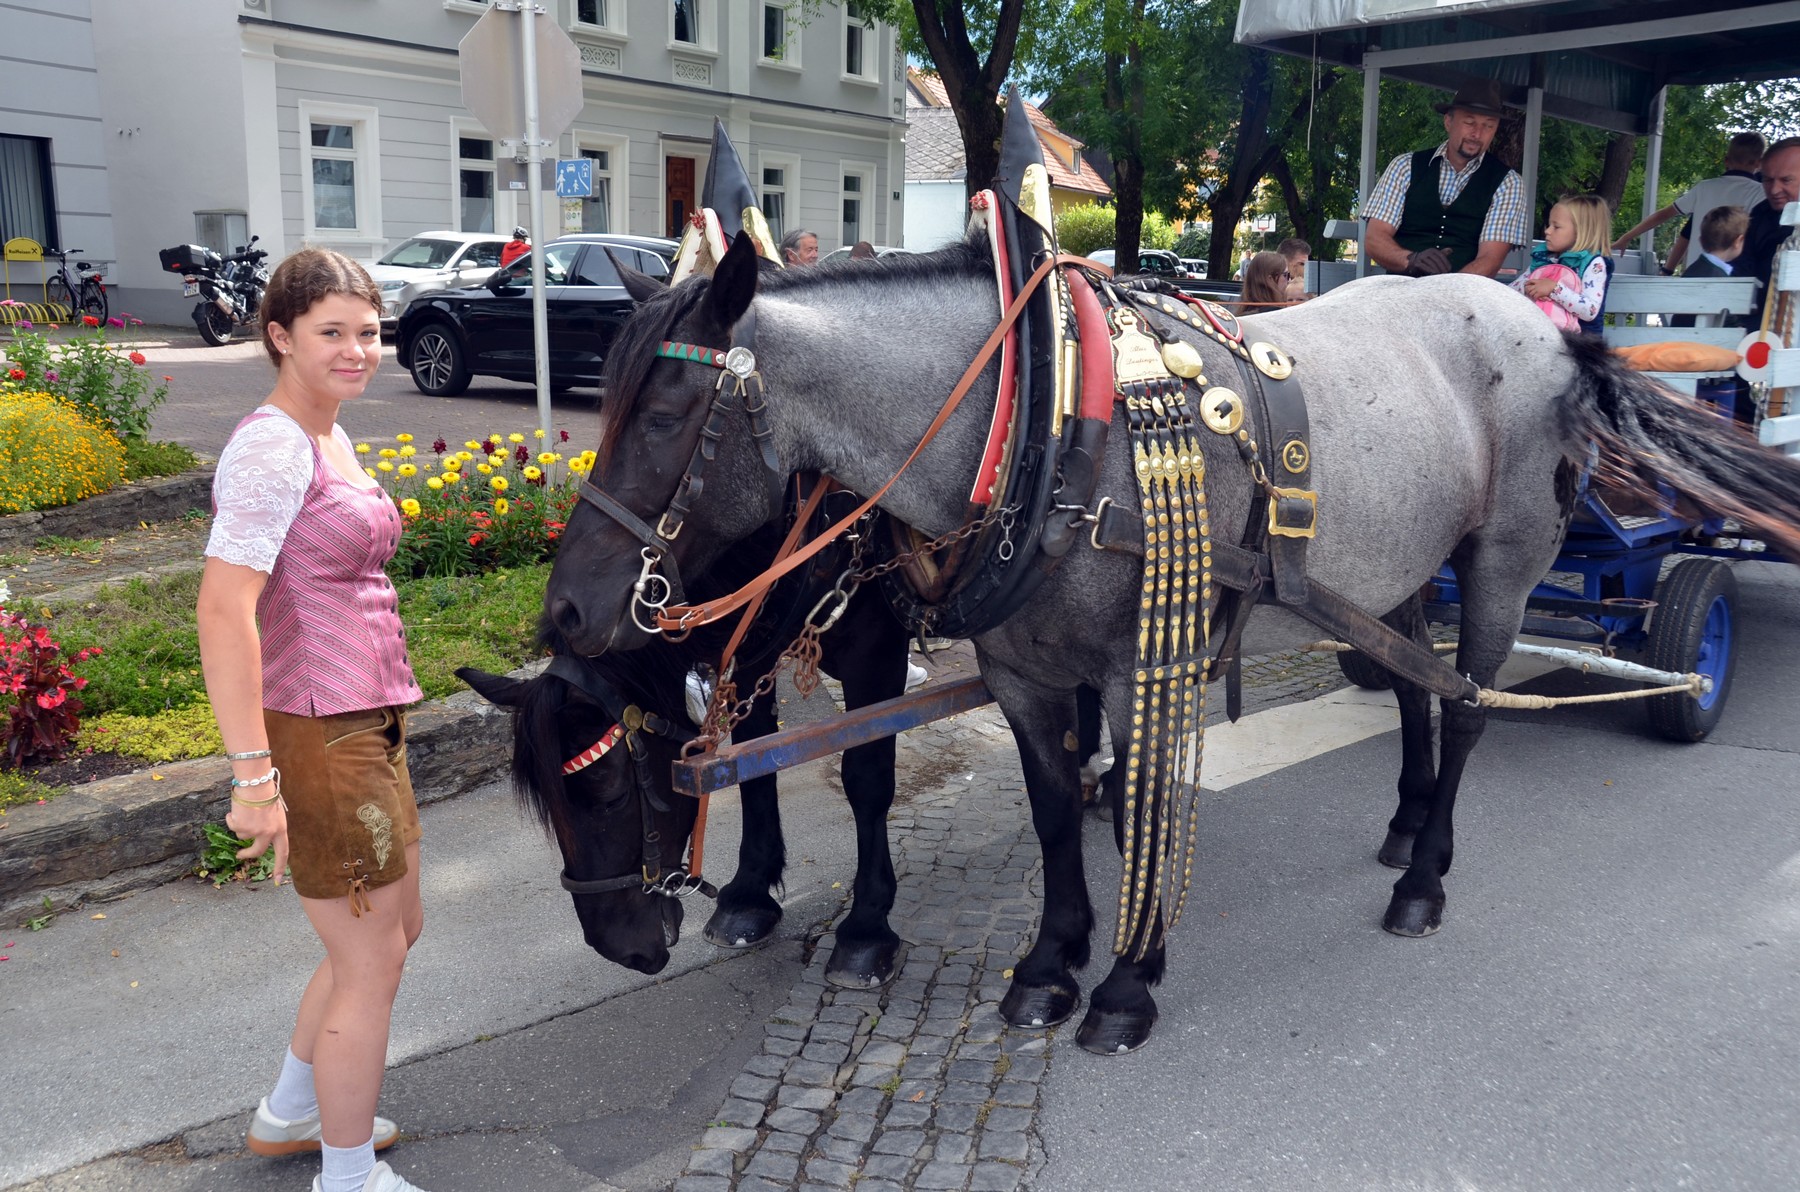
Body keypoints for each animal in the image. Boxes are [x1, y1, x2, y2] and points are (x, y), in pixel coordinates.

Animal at [458, 517, 912, 984]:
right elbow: (751, 767)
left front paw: (867, 926)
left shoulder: (875, 651)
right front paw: (748, 894)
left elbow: (866, 779)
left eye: (610, 795)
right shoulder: (752, 654)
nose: (616, 949)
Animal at [540, 229, 1800, 1053]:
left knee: (1467, 708)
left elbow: (1137, 796)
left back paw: (1426, 875)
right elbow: (1057, 811)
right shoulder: (1024, 672)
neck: (1051, 418)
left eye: (666, 413)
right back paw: (1402, 824)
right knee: (1409, 691)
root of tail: (1543, 323)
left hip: (1499, 562)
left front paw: (1126, 983)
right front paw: (1051, 963)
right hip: (1391, 569)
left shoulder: (1135, 666)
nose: (565, 611)